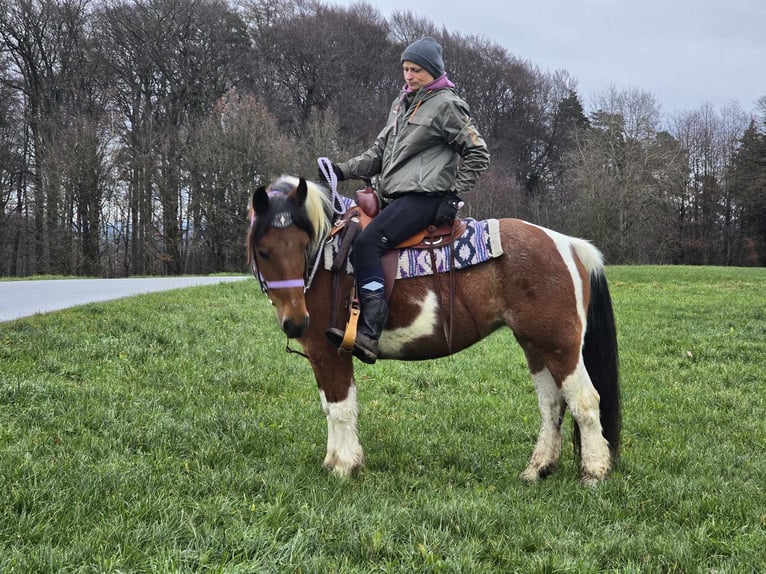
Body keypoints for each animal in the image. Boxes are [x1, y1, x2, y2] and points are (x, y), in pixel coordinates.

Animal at [249, 176, 620, 486]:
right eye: (264, 251)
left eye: (302, 246)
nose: (297, 321)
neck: (327, 256)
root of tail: (567, 244)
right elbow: (329, 407)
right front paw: (334, 461)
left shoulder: (329, 351)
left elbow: (340, 409)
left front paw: (344, 466)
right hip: (535, 345)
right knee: (552, 404)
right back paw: (537, 469)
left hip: (560, 345)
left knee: (585, 402)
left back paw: (594, 472)